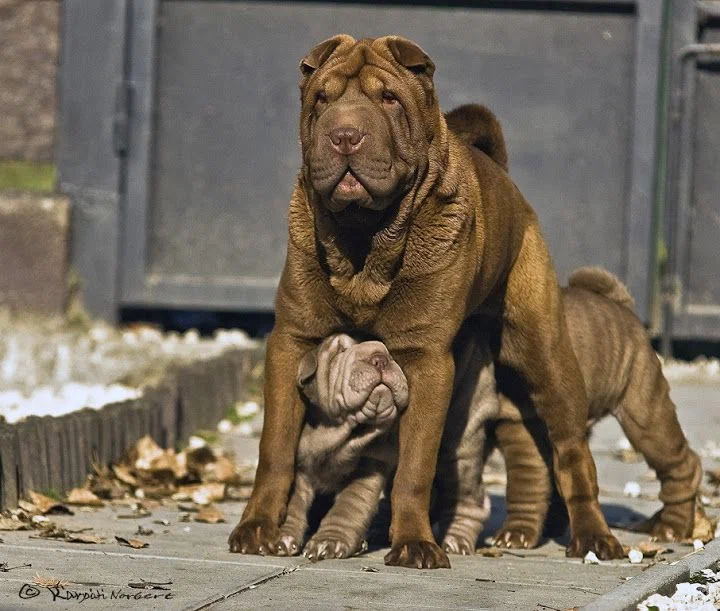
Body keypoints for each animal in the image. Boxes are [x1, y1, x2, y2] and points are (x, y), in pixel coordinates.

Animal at [278, 332, 498, 560]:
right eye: (340, 351)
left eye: (389, 351)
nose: (379, 358)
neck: (340, 429)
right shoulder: (299, 462)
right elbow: (293, 500)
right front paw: (282, 537)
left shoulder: (371, 464)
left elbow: (350, 505)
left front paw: (329, 541)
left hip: (462, 434)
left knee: (468, 493)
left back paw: (456, 539)